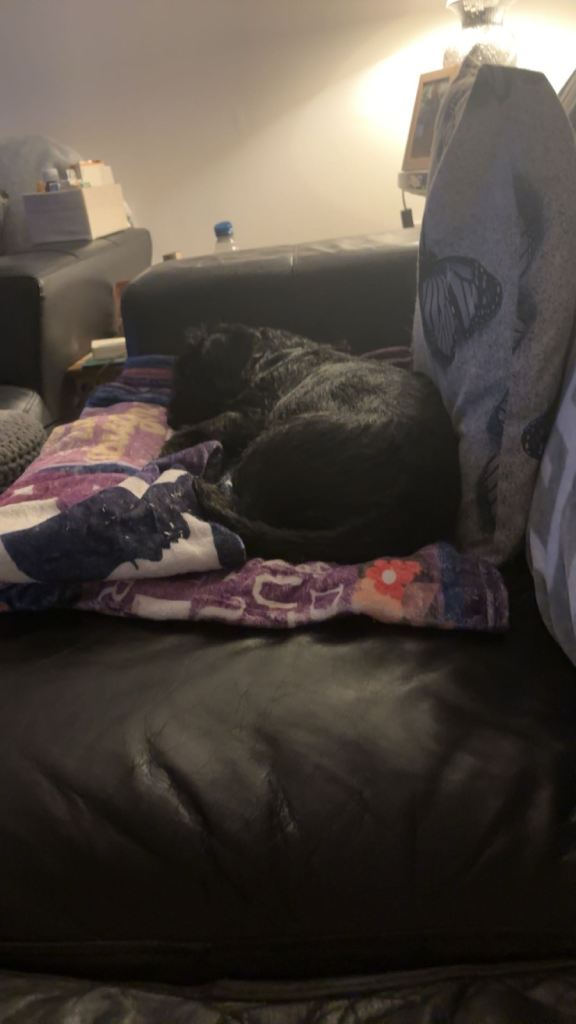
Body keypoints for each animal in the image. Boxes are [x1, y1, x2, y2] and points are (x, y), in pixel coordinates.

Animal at [163, 324, 460, 564]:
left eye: (189, 375)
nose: (169, 415)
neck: (274, 354)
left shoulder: (251, 414)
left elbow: (210, 425)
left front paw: (171, 447)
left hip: (265, 450)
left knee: (243, 502)